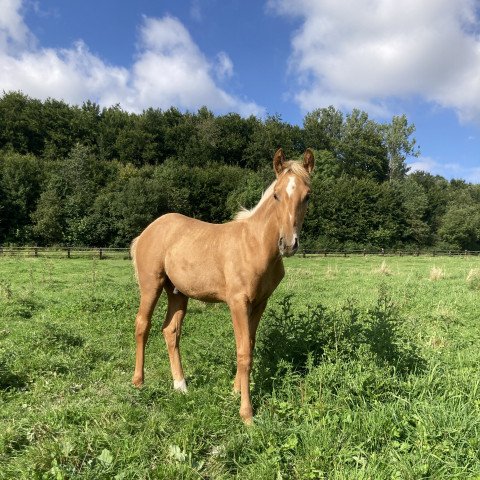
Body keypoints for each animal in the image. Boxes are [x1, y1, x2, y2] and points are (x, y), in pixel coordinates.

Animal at [130, 147, 316, 424]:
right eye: (276, 195)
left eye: (307, 196)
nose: (288, 244)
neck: (255, 244)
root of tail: (147, 231)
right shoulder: (238, 302)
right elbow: (243, 352)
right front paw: (246, 413)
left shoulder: (260, 303)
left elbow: (249, 345)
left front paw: (234, 391)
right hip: (151, 285)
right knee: (142, 325)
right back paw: (138, 382)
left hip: (177, 292)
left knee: (170, 331)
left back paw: (180, 385)